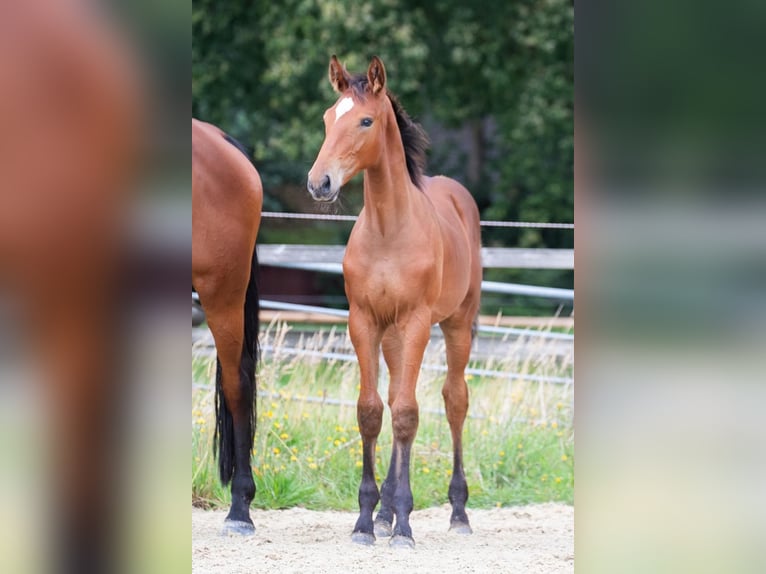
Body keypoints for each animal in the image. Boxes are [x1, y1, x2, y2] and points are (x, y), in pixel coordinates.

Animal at [308, 55, 484, 548]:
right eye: (328, 118)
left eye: (365, 121)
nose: (319, 183)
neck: (388, 232)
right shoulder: (364, 321)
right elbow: (372, 412)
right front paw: (367, 520)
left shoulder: (417, 322)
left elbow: (407, 414)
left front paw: (404, 524)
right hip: (390, 336)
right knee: (391, 397)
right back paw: (385, 512)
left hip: (456, 324)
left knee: (453, 401)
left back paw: (457, 513)